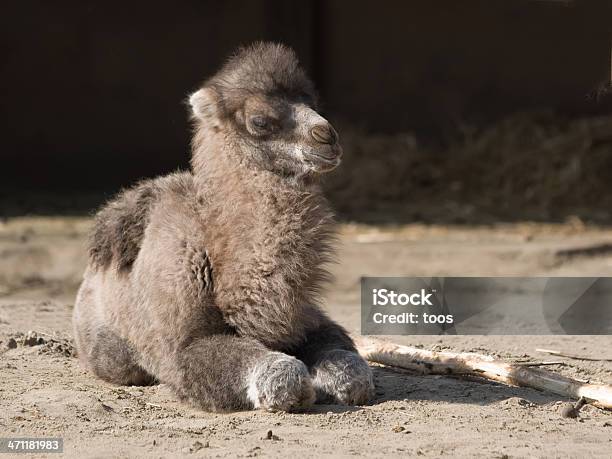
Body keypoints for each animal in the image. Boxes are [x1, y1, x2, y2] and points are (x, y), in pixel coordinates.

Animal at [74, 41, 376, 412]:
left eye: (313, 104)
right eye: (259, 121)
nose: (327, 136)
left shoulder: (306, 319)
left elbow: (349, 363)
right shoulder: (185, 346)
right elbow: (272, 369)